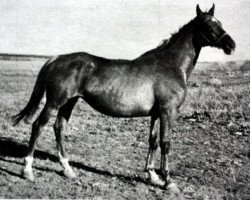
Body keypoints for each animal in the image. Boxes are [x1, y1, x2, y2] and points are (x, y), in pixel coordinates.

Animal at [12, 3, 234, 189]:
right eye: (207, 25)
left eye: (220, 23)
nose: (231, 45)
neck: (170, 65)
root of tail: (56, 59)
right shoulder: (168, 111)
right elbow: (166, 142)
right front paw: (168, 181)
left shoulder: (156, 114)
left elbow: (153, 141)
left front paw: (152, 175)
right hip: (54, 102)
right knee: (38, 126)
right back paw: (28, 171)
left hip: (69, 102)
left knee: (59, 128)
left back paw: (68, 170)